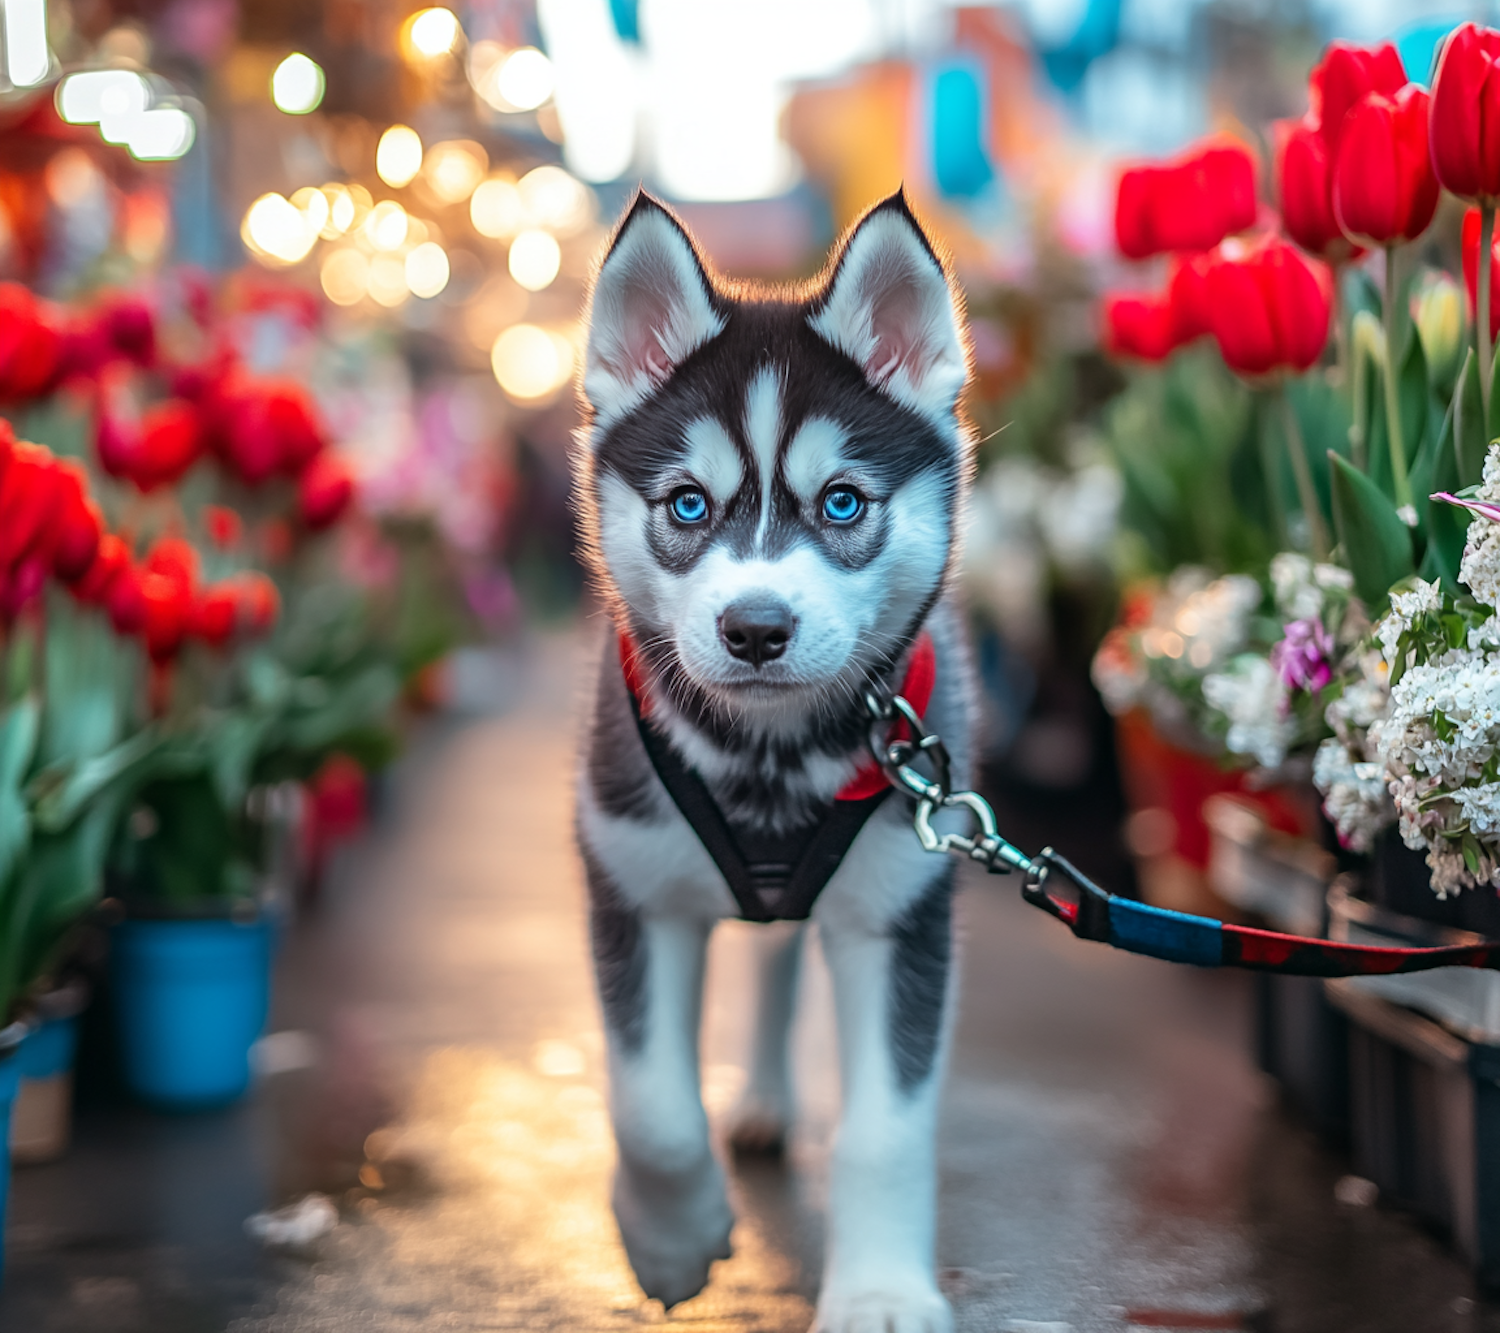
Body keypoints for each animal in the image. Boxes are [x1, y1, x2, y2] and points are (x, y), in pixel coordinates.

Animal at [570, 189, 972, 1331]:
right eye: (687, 504)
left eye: (841, 501)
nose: (755, 628)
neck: (768, 761)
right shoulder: (632, 886)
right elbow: (652, 1105)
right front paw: (672, 1241)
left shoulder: (899, 912)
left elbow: (887, 1130)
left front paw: (880, 1293)